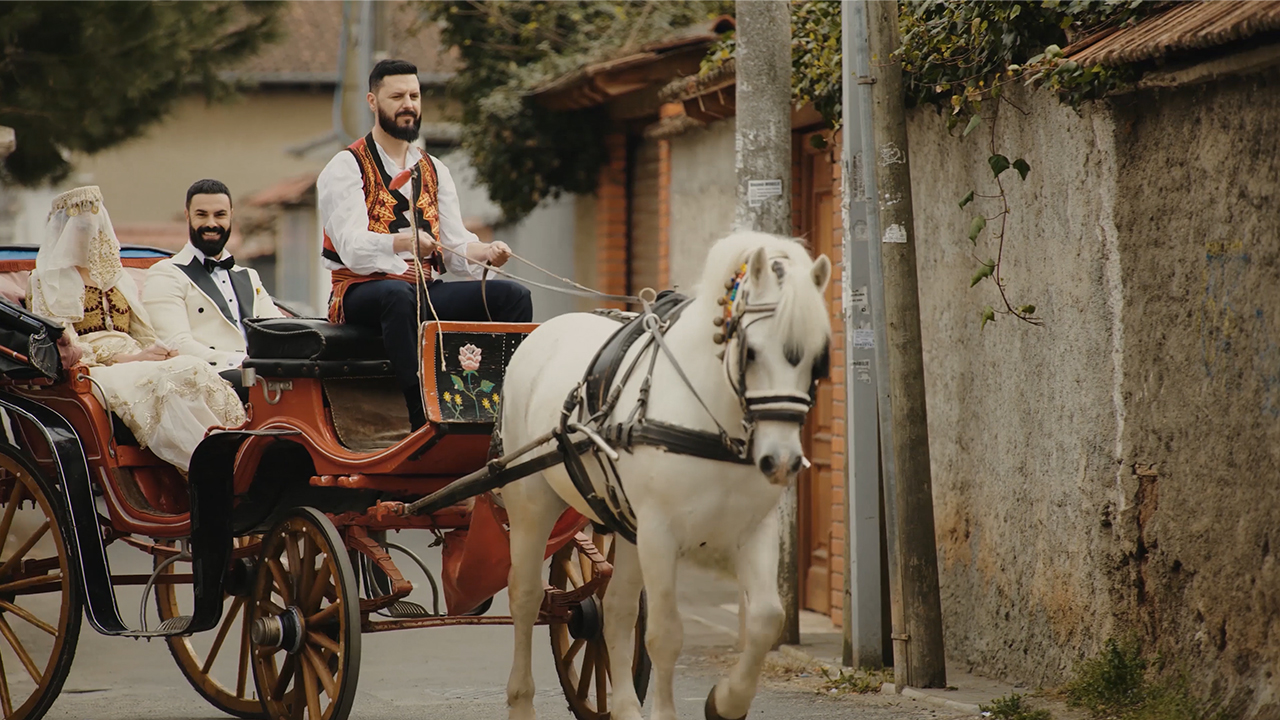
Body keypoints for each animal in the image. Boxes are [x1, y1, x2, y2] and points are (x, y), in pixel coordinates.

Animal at [494, 229, 834, 717]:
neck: (712, 417)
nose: (782, 461)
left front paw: (726, 701)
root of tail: (546, 330)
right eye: (751, 352)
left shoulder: (755, 528)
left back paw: (623, 707)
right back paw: (521, 701)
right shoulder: (659, 532)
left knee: (614, 609)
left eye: (818, 359)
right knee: (525, 596)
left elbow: (767, 617)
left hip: (625, 524)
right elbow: (665, 634)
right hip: (532, 502)